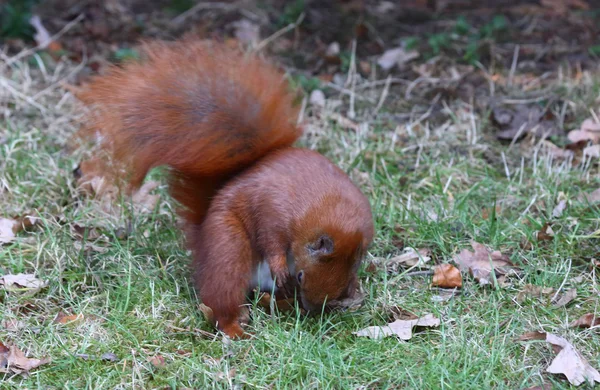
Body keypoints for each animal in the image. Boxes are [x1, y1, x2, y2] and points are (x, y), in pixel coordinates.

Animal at [77, 40, 372, 338]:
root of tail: (202, 238)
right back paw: (236, 327)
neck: (328, 208)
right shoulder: (272, 208)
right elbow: (271, 240)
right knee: (222, 296)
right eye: (300, 275)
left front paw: (352, 291)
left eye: (343, 281)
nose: (311, 309)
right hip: (228, 247)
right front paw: (280, 265)